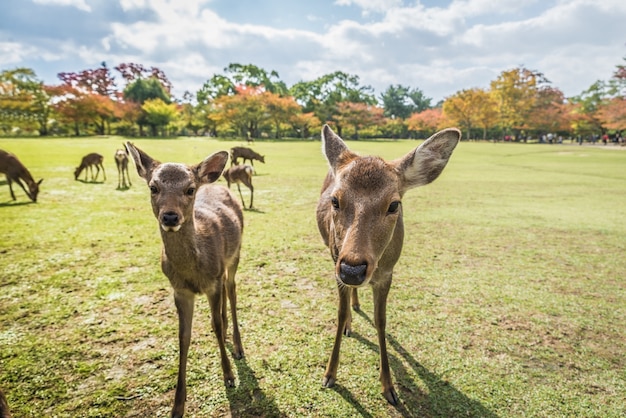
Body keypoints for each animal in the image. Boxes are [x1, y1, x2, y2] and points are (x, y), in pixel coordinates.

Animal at [125, 142, 244, 416]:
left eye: (189, 189)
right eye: (153, 187)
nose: (170, 217)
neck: (194, 272)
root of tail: (214, 183)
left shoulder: (213, 282)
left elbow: (216, 325)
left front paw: (229, 376)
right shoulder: (180, 291)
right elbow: (183, 336)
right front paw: (177, 405)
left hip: (235, 257)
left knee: (232, 291)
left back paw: (238, 347)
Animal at [316, 124, 458, 404]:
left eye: (394, 205)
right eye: (335, 201)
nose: (352, 269)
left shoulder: (387, 274)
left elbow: (381, 321)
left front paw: (389, 387)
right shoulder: (335, 264)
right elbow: (339, 314)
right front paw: (329, 375)